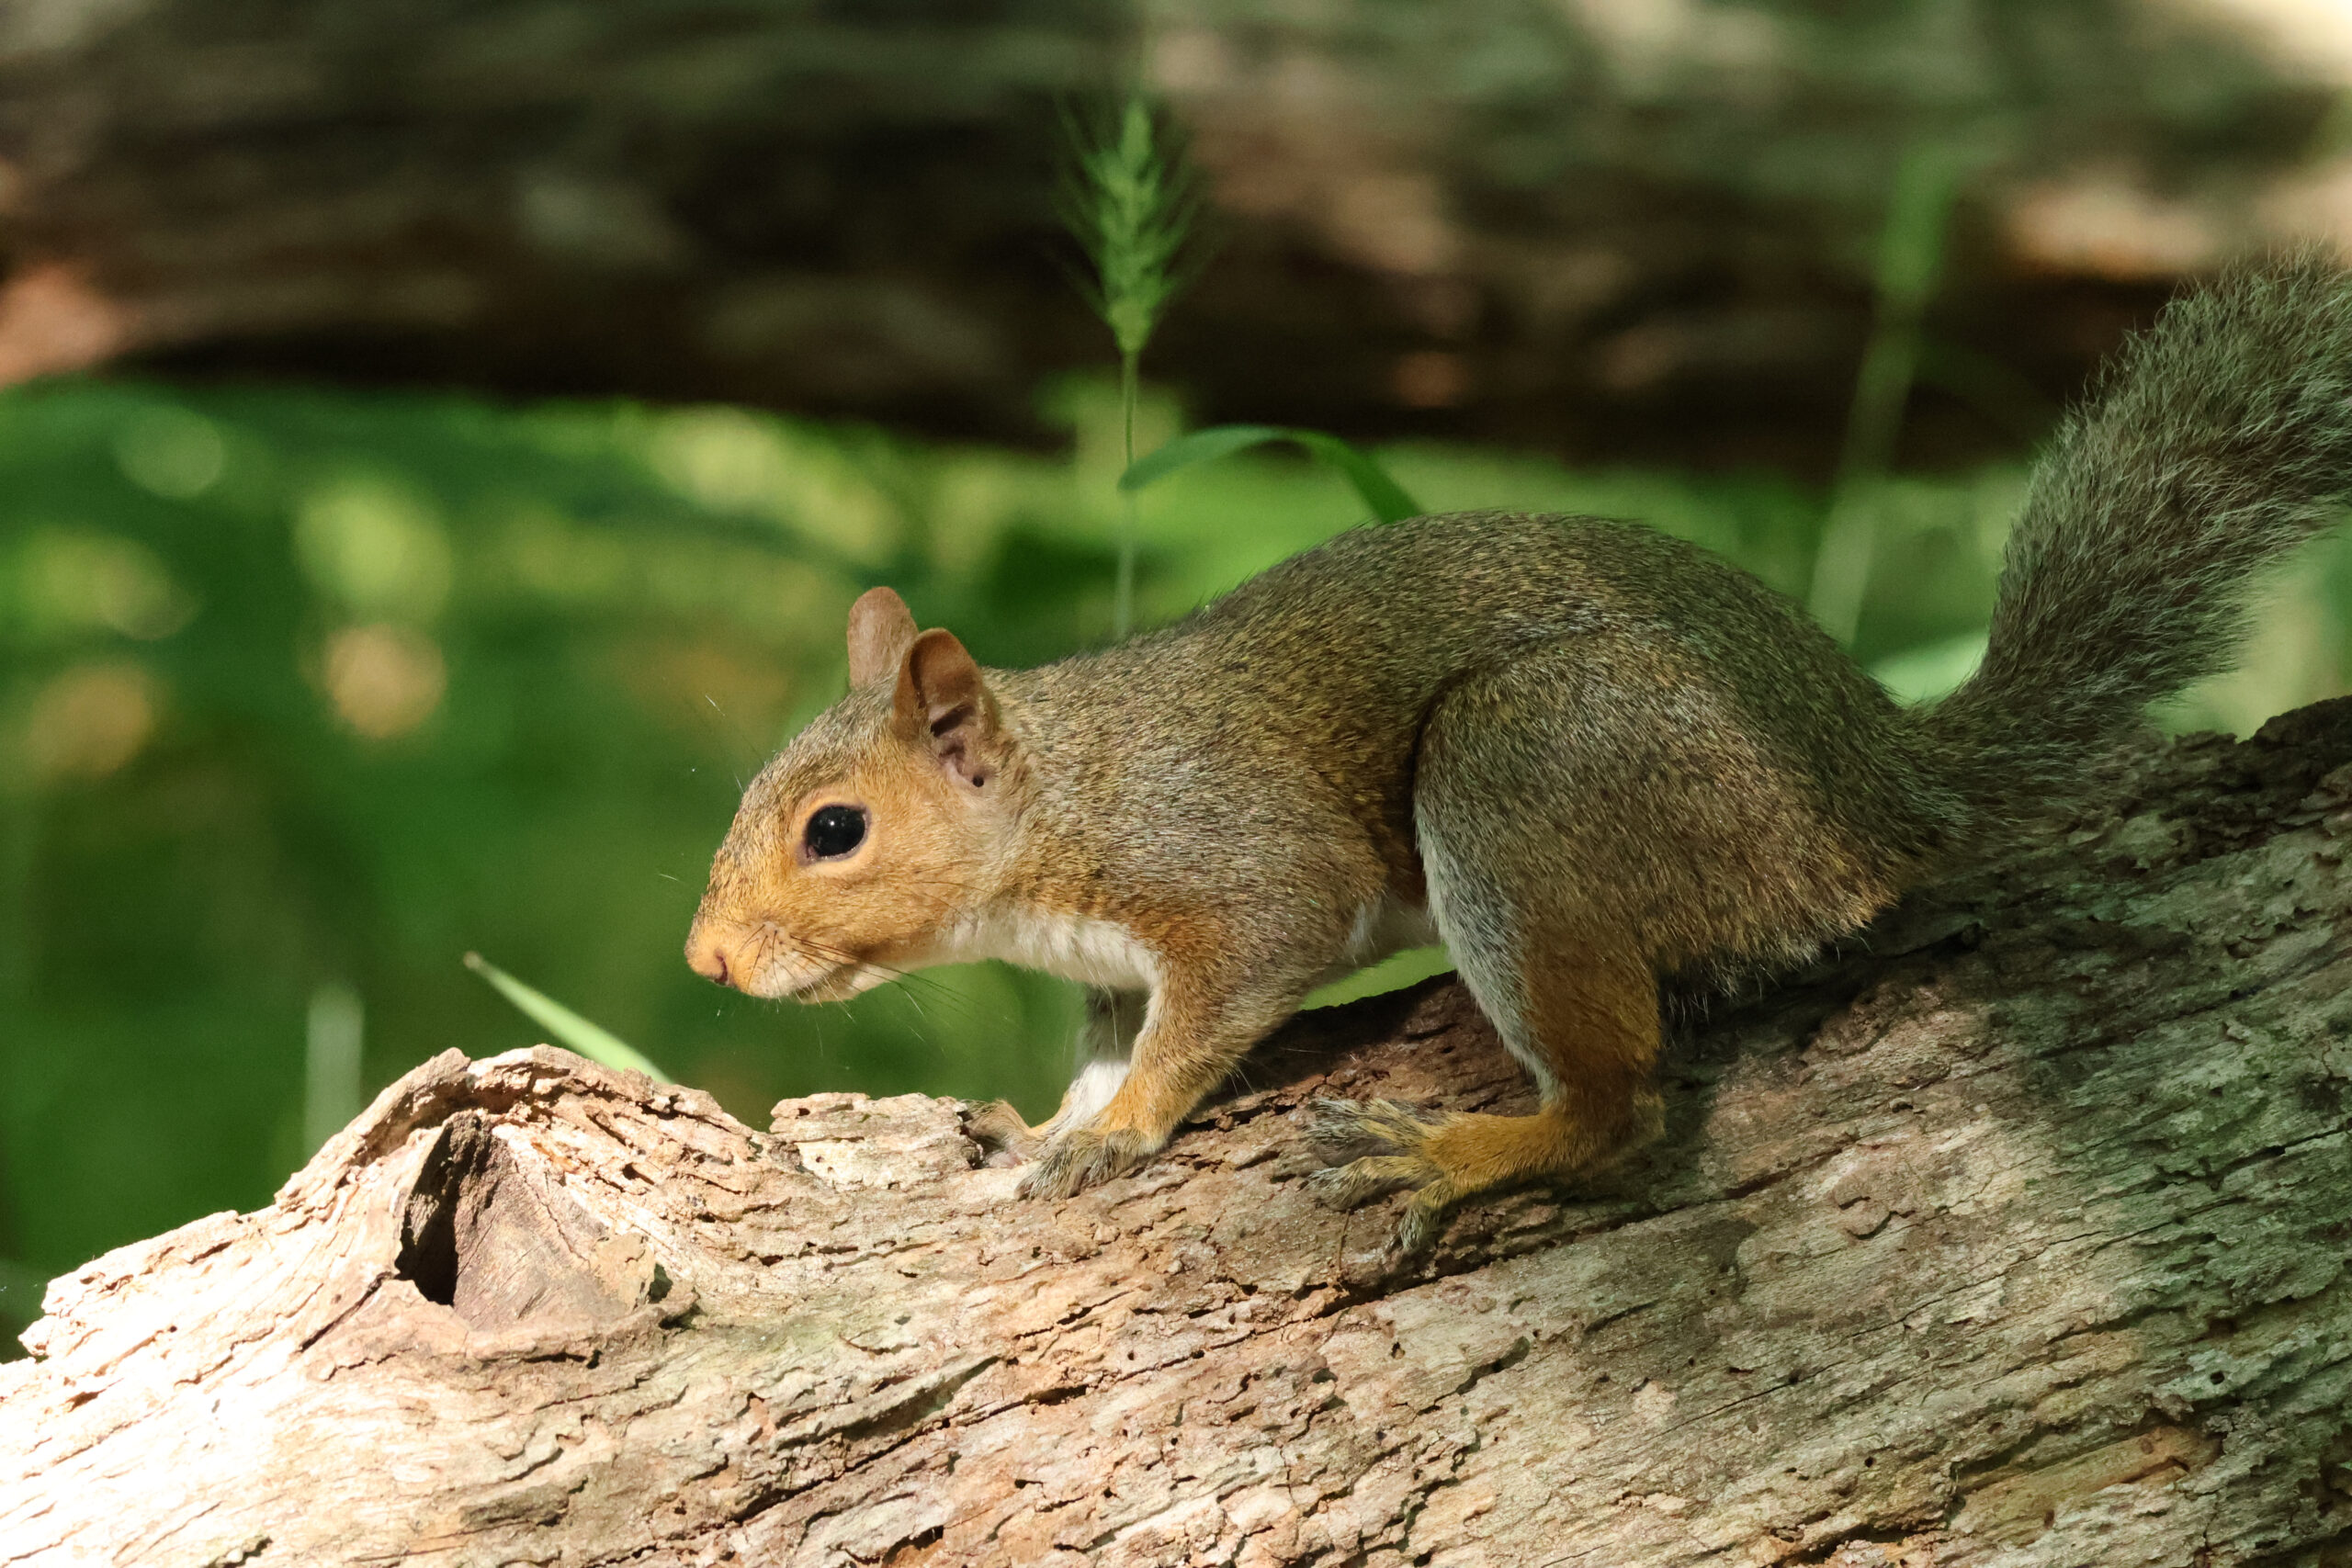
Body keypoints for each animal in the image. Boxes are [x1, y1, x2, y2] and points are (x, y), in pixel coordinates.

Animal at [686, 261, 2352, 1253]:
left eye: (833, 829)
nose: (704, 961)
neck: (1062, 800)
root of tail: (1874, 783)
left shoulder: (1232, 871)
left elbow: (1211, 1009)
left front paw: (1128, 1133)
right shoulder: (1105, 970)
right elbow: (1106, 1048)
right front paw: (1052, 1123)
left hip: (1529, 773)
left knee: (1622, 1115)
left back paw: (1460, 1153)